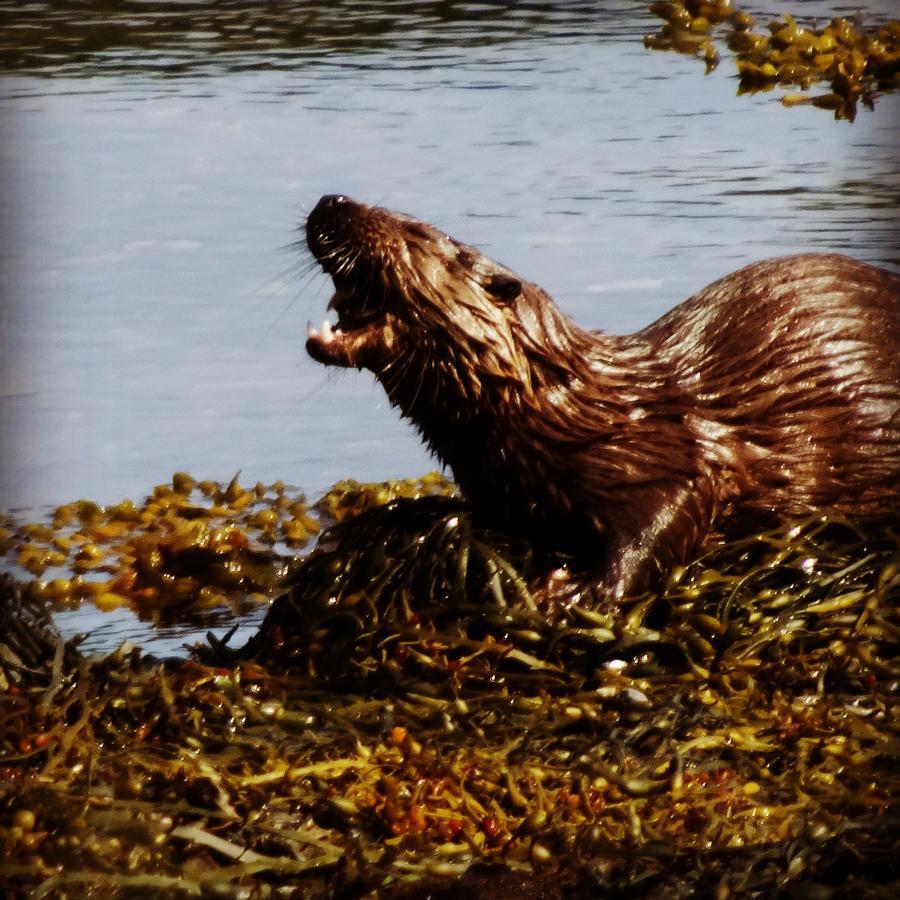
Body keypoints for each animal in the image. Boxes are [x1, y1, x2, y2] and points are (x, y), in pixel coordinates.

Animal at [304, 195, 900, 596]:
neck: (565, 411)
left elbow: (672, 513)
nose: (332, 200)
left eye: (411, 228)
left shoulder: (664, 449)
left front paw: (579, 590)